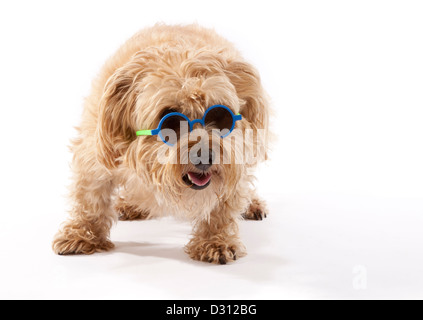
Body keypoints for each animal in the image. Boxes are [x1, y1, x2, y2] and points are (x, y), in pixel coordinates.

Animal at [53, 24, 270, 264]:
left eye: (221, 116)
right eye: (169, 120)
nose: (205, 155)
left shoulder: (237, 157)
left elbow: (224, 206)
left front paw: (215, 241)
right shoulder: (94, 154)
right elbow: (91, 198)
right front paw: (83, 234)